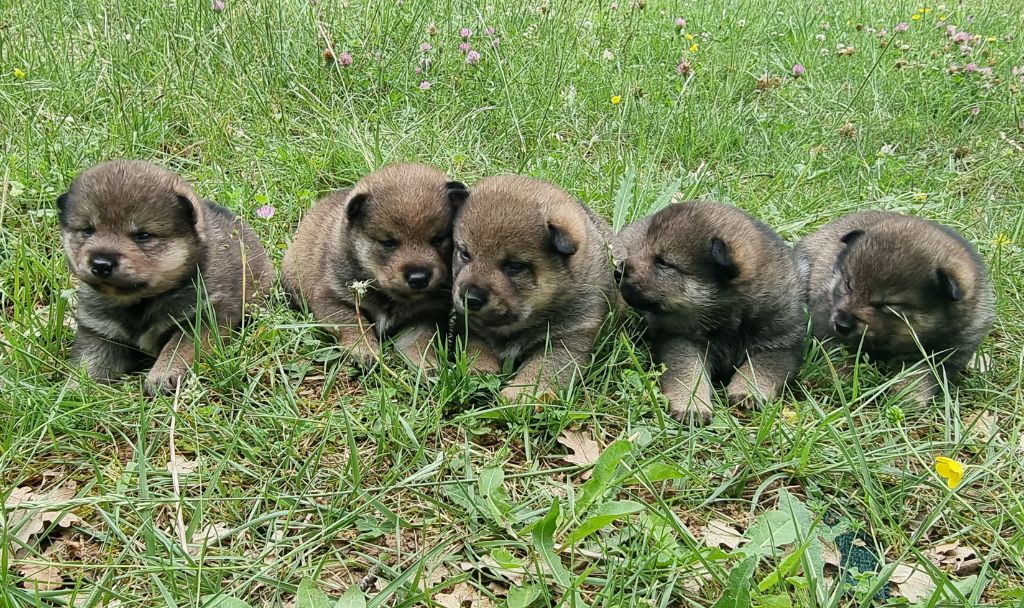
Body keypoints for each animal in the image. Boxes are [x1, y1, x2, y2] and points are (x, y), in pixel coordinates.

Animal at [58, 157, 274, 393]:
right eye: (88, 230)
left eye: (143, 236)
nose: (101, 264)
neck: (140, 302)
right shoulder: (99, 331)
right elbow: (89, 362)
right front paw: (73, 391)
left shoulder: (202, 318)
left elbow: (177, 348)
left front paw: (162, 375)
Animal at [282, 160, 468, 366]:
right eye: (388, 242)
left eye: (438, 239)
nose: (419, 278)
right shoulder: (331, 297)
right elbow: (353, 322)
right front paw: (364, 349)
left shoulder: (426, 315)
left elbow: (420, 340)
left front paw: (424, 363)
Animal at [450, 175, 614, 399]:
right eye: (465, 253)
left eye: (514, 266)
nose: (470, 298)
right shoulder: (472, 330)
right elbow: (476, 349)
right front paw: (479, 372)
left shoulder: (566, 340)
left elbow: (541, 371)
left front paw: (520, 395)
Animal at [614, 201, 806, 423]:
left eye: (664, 262)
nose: (618, 271)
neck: (729, 319)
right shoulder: (682, 340)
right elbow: (688, 371)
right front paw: (692, 404)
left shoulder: (780, 345)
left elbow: (760, 367)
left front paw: (747, 391)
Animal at [794, 210, 995, 405]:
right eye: (848, 285)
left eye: (887, 305)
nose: (841, 325)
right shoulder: (825, 320)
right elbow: (836, 355)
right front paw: (844, 383)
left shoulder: (946, 353)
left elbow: (921, 375)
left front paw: (907, 398)